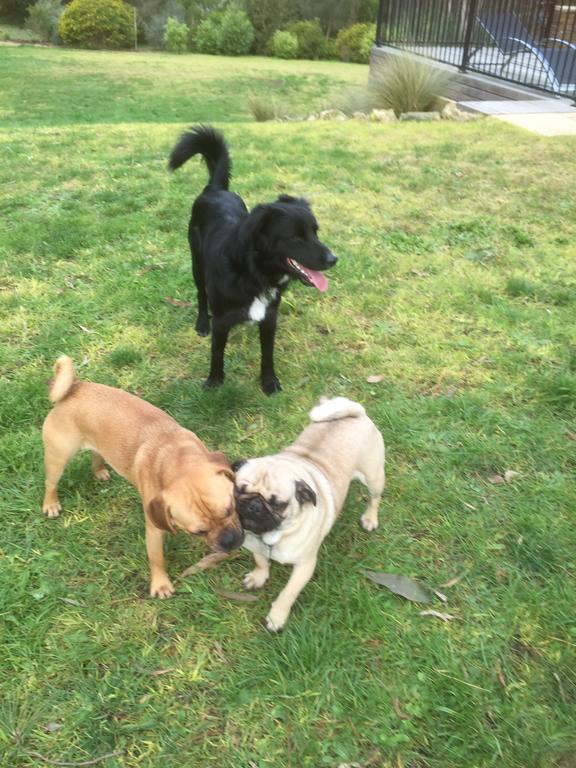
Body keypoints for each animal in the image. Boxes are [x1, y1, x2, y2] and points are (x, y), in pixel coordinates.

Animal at [41, 356, 244, 596]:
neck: (177, 457)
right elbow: (156, 558)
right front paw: (160, 584)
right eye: (199, 532)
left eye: (230, 509)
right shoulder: (154, 528)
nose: (230, 541)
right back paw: (50, 504)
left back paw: (99, 470)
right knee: (50, 484)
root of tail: (74, 388)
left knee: (96, 455)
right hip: (58, 459)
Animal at [169, 126, 336, 396]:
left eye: (315, 232)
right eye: (295, 237)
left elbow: (267, 355)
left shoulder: (269, 318)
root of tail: (214, 189)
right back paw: (202, 323)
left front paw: (269, 382)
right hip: (197, 265)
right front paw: (214, 381)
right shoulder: (222, 321)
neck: (254, 273)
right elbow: (217, 353)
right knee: (201, 296)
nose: (334, 259)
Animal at [232, 396, 384, 632]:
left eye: (278, 504)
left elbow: (288, 593)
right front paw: (259, 577)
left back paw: (370, 518)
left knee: (374, 499)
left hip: (374, 477)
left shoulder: (304, 566)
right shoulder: (255, 546)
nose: (254, 505)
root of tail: (356, 413)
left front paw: (277, 617)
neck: (272, 537)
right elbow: (261, 562)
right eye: (240, 490)